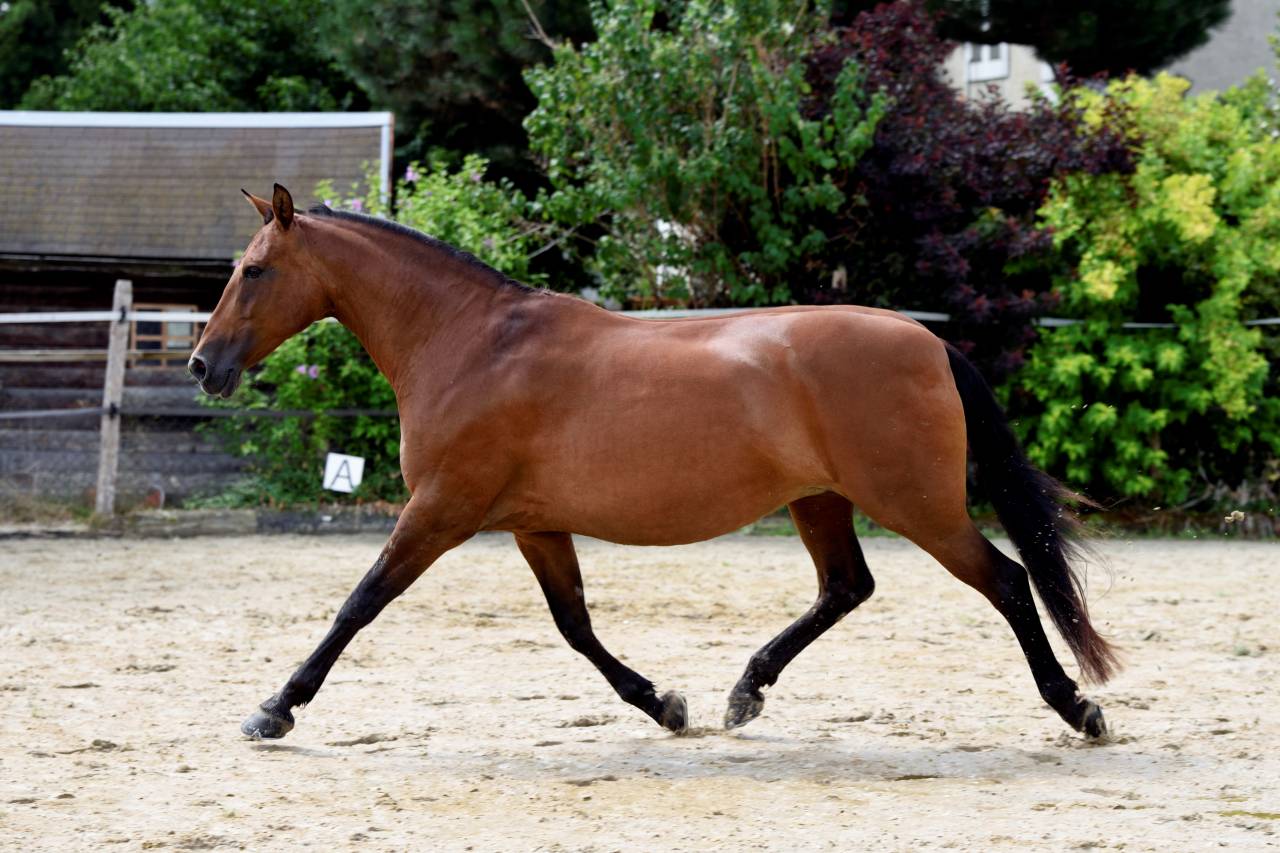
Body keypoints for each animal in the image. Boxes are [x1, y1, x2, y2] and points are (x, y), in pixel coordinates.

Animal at [190, 184, 1118, 743]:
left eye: (253, 270)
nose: (203, 365)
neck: (471, 343)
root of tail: (927, 340)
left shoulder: (441, 510)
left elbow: (359, 602)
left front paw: (274, 709)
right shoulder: (533, 524)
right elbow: (574, 624)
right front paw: (666, 704)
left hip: (915, 504)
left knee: (1006, 581)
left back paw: (1078, 707)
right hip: (821, 499)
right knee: (846, 586)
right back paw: (746, 691)